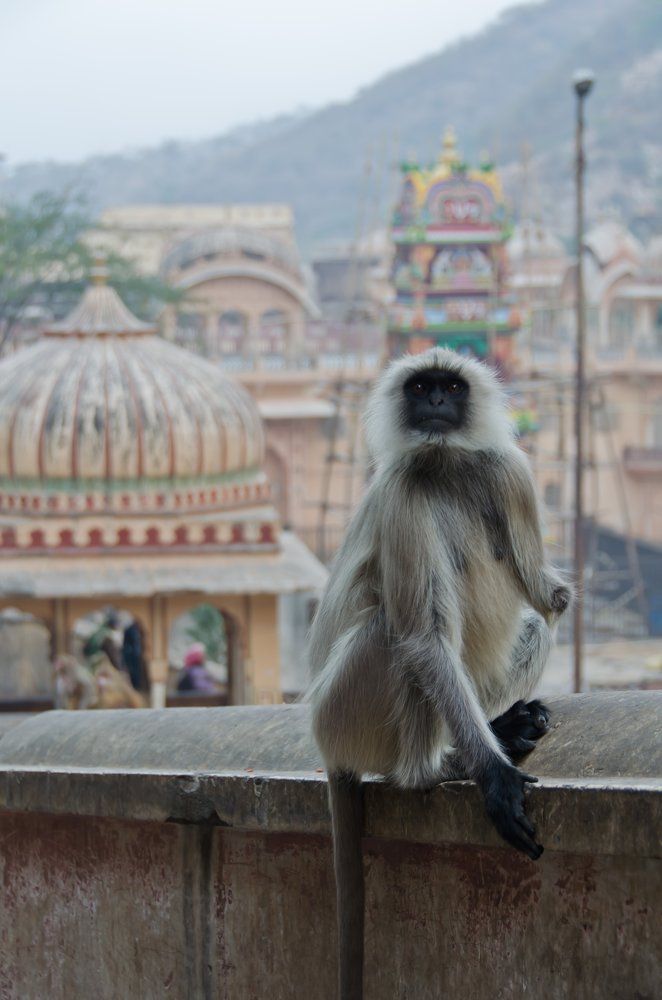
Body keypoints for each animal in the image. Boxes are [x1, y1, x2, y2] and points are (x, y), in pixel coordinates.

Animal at [307, 347, 571, 1000]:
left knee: (531, 618)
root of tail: (328, 747)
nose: (433, 403)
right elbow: (427, 638)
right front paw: (494, 779)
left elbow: (548, 595)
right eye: (421, 387)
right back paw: (440, 766)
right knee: (400, 634)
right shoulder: (403, 489)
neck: (446, 463)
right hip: (345, 710)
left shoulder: (511, 471)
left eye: (449, 388)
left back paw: (497, 732)